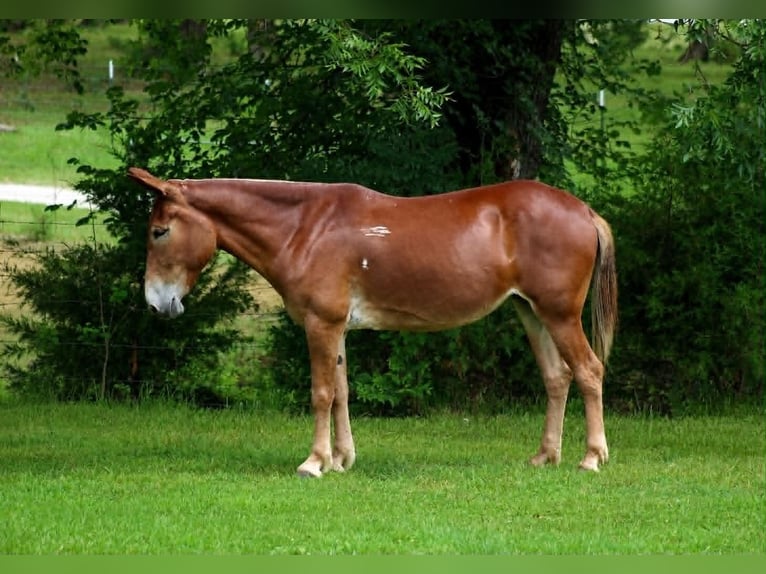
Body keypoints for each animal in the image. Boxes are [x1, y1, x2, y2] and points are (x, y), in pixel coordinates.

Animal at [128, 167, 617, 476]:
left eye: (159, 232)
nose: (155, 303)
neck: (305, 228)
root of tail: (583, 210)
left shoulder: (321, 326)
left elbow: (321, 393)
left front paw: (314, 463)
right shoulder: (337, 329)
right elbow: (342, 393)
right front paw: (340, 460)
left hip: (558, 315)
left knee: (588, 372)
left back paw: (592, 457)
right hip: (531, 312)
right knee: (557, 378)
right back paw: (545, 457)